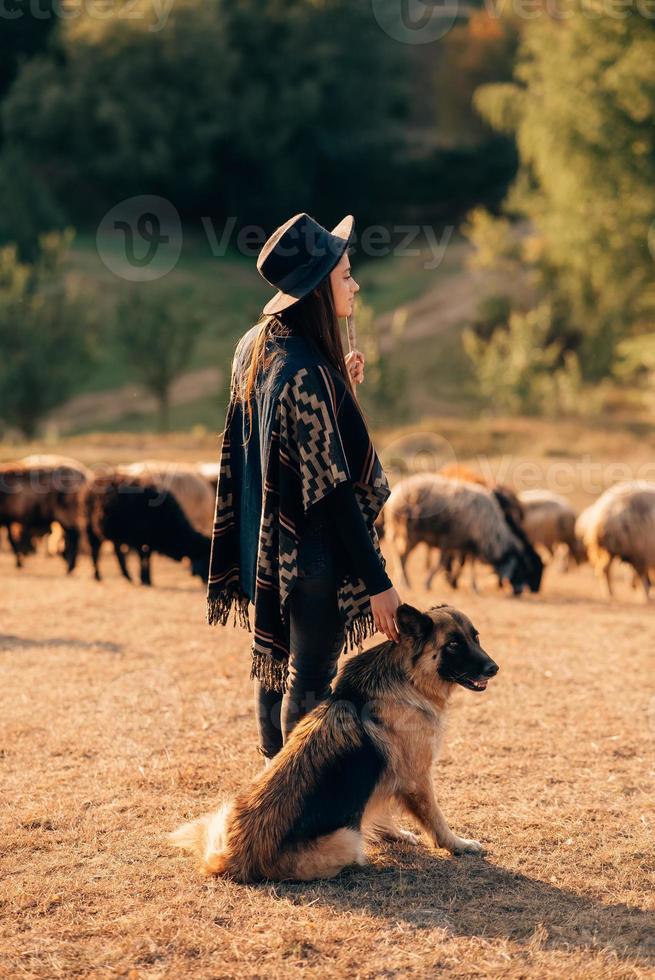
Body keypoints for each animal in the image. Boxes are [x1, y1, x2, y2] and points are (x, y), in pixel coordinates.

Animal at [170, 600, 502, 884]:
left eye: (475, 638)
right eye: (454, 645)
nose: (494, 668)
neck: (408, 677)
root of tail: (230, 858)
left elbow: (380, 806)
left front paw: (394, 834)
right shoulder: (417, 779)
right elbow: (436, 819)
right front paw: (458, 845)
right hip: (346, 838)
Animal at [384, 470, 544, 592]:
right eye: (521, 569)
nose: (519, 591)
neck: (491, 530)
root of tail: (395, 494)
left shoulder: (467, 544)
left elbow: (469, 565)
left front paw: (473, 586)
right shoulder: (449, 541)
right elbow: (443, 563)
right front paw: (428, 583)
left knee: (402, 556)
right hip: (408, 532)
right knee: (401, 556)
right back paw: (405, 581)